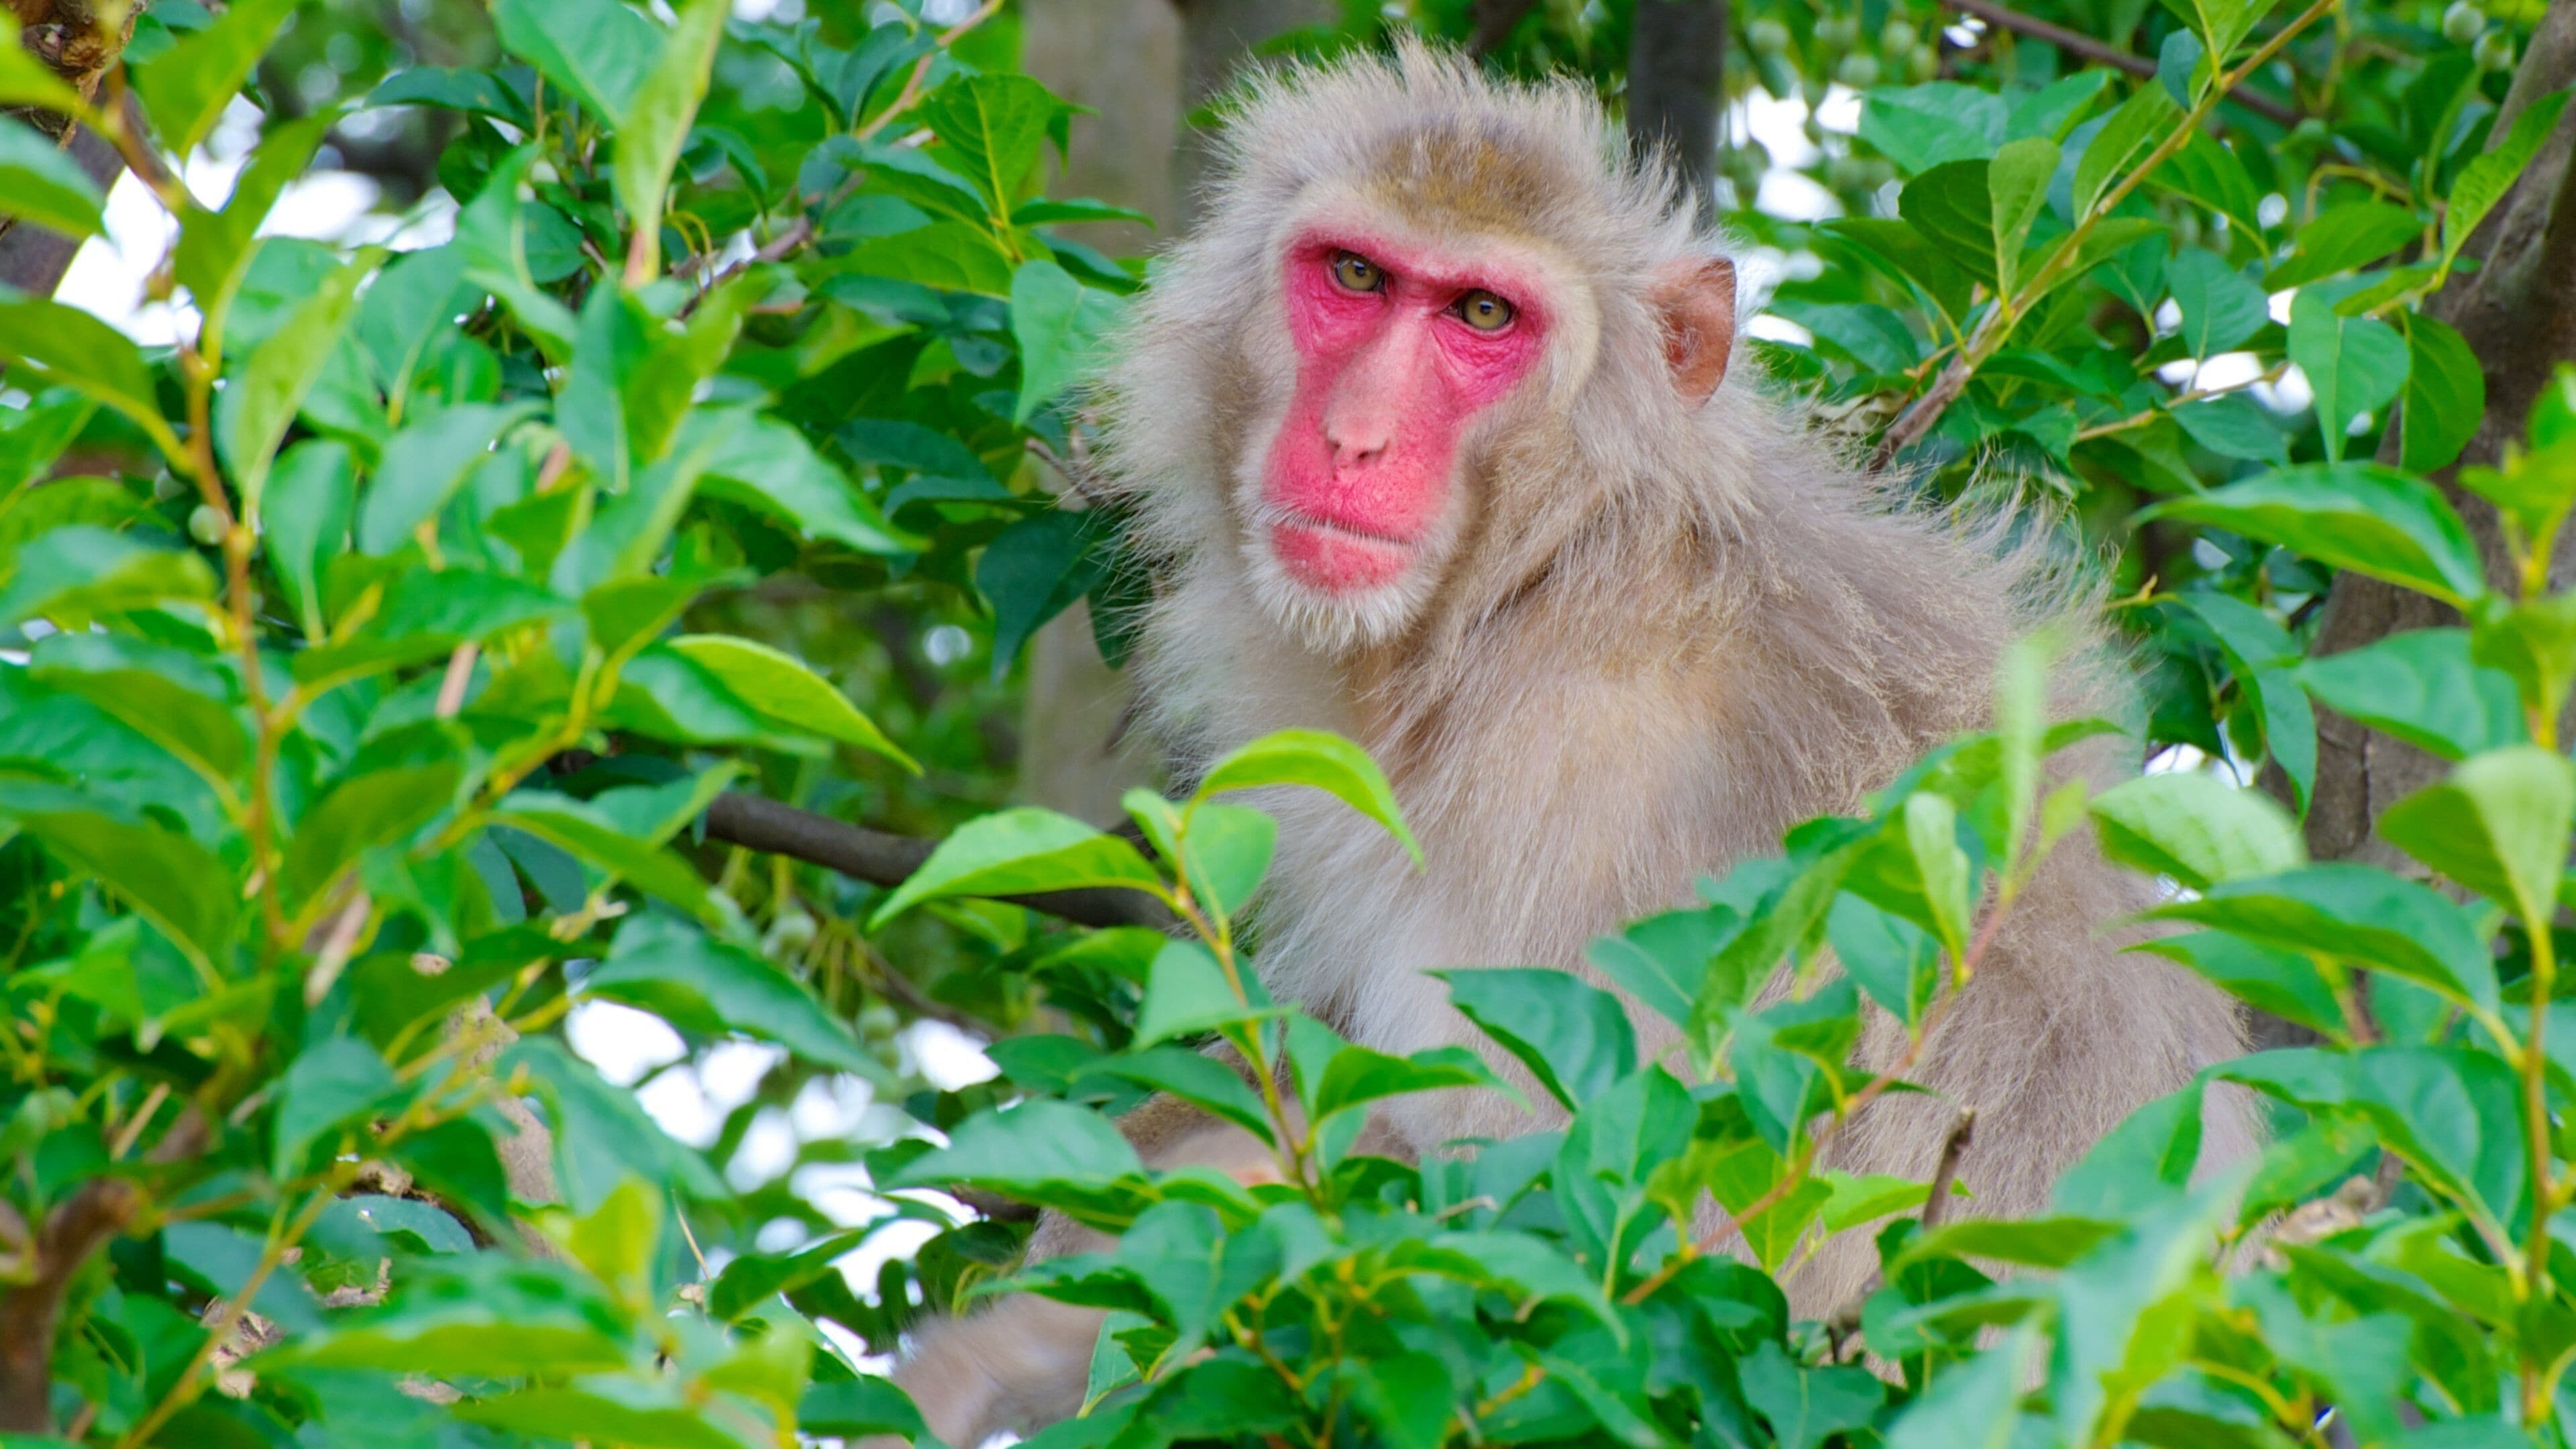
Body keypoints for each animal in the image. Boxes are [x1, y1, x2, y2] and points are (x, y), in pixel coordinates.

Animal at [883, 43, 2257, 1445]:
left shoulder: (1592, 792)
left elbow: (1563, 1227)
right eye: (1356, 277)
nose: (1351, 438)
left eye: (1485, 316)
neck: (1552, 571)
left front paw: (1021, 1343)